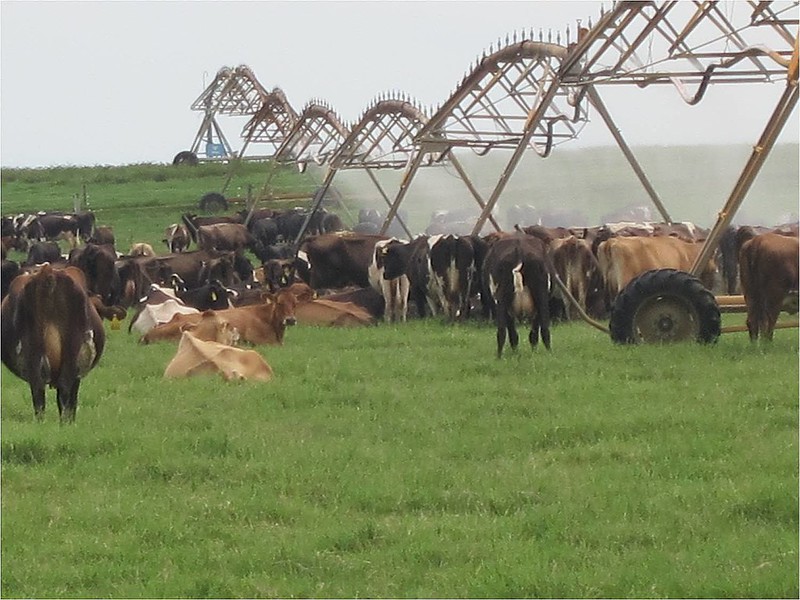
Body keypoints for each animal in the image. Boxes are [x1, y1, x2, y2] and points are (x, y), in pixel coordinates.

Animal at [1, 263, 105, 422]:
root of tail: (48, 272)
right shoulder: (77, 374)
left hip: (35, 350)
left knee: (38, 390)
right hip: (71, 350)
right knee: (63, 391)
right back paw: (64, 423)